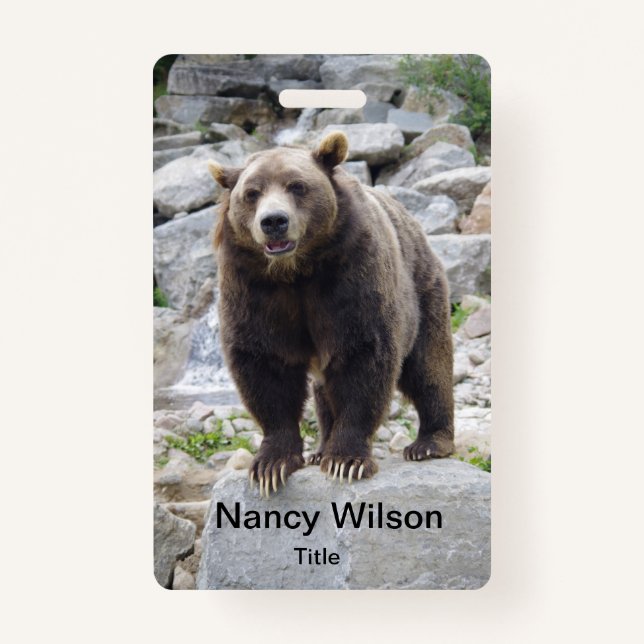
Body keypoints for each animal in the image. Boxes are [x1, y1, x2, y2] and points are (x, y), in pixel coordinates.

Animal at [207, 131, 454, 497]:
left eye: (297, 186)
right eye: (252, 193)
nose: (274, 221)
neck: (296, 271)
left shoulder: (350, 273)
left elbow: (362, 355)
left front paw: (346, 460)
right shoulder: (252, 286)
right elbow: (264, 364)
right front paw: (271, 465)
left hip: (424, 291)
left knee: (429, 366)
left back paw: (430, 443)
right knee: (324, 390)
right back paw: (320, 448)